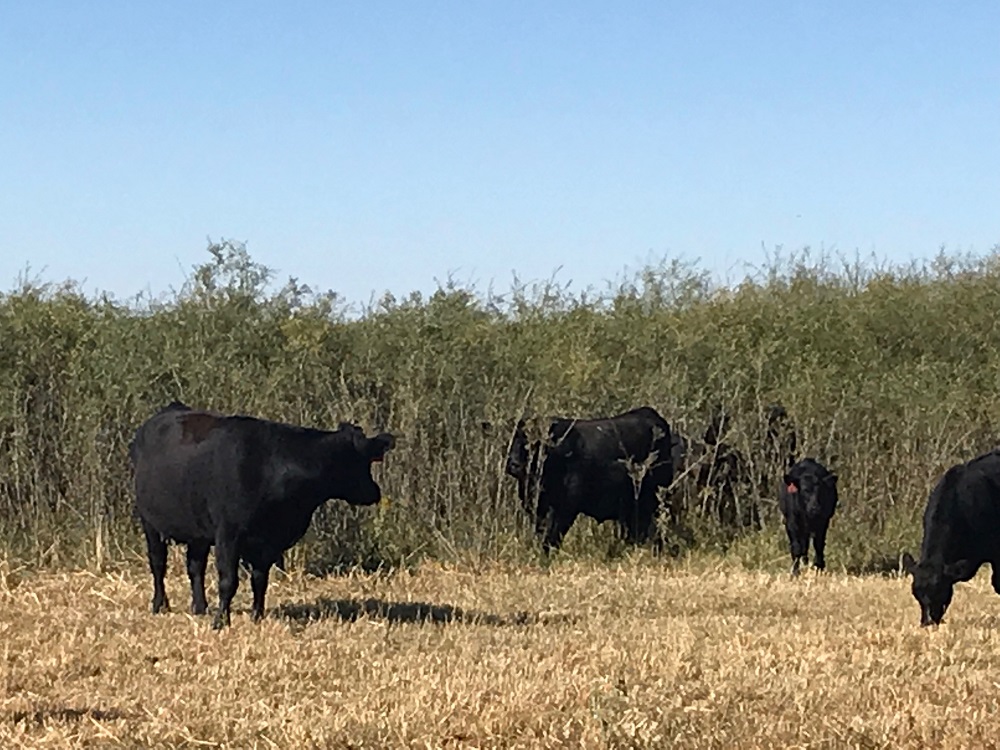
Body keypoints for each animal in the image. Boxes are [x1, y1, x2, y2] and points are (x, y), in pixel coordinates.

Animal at [132, 406, 394, 628]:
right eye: (358, 461)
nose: (374, 492)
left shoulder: (268, 541)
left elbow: (260, 580)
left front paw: (257, 616)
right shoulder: (228, 534)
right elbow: (229, 581)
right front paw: (221, 622)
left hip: (198, 532)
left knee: (195, 566)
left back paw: (200, 607)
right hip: (150, 522)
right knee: (158, 564)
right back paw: (160, 604)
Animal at [508, 408, 672, 556]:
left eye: (532, 443)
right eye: (514, 439)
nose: (513, 464)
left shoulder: (565, 509)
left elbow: (552, 538)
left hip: (655, 502)